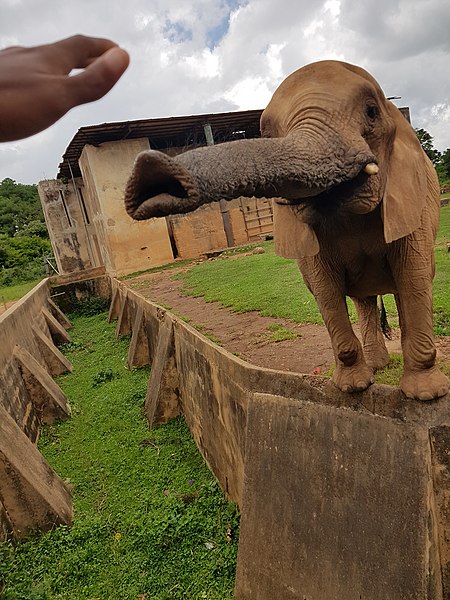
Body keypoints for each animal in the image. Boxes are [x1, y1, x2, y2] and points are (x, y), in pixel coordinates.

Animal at [124, 61, 450, 400]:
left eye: (372, 111)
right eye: (267, 133)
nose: (150, 175)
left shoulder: (413, 200)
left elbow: (413, 275)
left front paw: (426, 395)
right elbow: (325, 289)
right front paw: (352, 388)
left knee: (404, 287)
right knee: (364, 299)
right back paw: (377, 366)